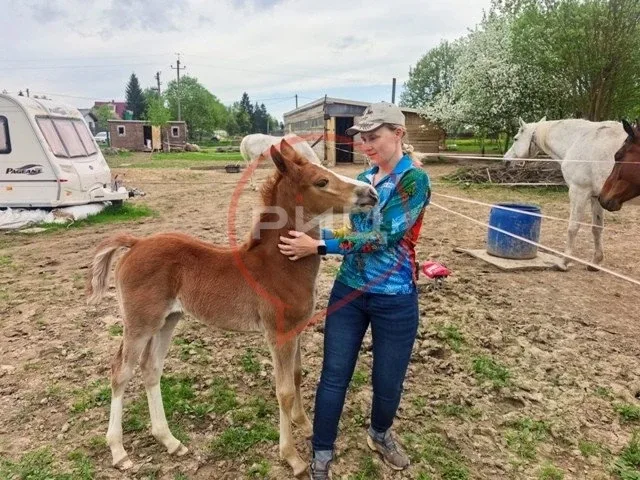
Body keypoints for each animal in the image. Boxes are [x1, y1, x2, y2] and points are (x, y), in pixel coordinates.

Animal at [86, 139, 378, 477]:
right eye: (321, 181)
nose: (371, 193)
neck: (279, 264)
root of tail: (135, 243)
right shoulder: (279, 333)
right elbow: (284, 391)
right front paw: (291, 456)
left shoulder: (296, 329)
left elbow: (297, 375)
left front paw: (304, 424)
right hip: (140, 322)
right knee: (121, 371)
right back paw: (118, 450)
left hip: (168, 319)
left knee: (151, 368)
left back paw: (170, 440)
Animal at [504, 117, 628, 270]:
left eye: (515, 139)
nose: (505, 160)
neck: (579, 140)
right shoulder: (596, 197)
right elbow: (597, 229)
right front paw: (595, 262)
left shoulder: (578, 191)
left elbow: (572, 227)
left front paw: (564, 262)